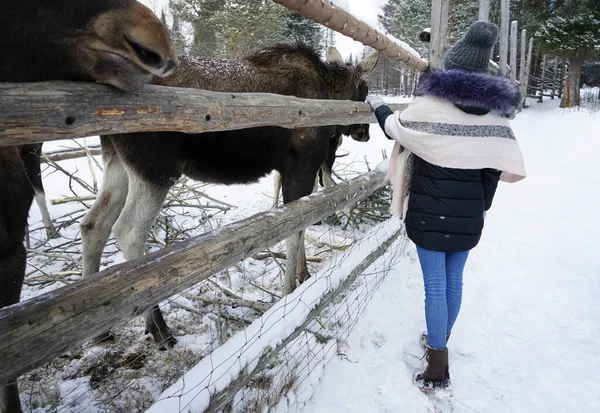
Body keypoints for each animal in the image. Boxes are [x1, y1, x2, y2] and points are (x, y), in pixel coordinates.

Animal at [81, 41, 380, 350]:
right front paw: (291, 288)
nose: (365, 133)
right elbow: (296, 228)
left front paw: (303, 276)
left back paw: (99, 329)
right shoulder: (302, 165)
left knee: (94, 224)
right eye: (364, 89)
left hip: (116, 160)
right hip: (156, 170)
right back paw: (159, 329)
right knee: (128, 231)